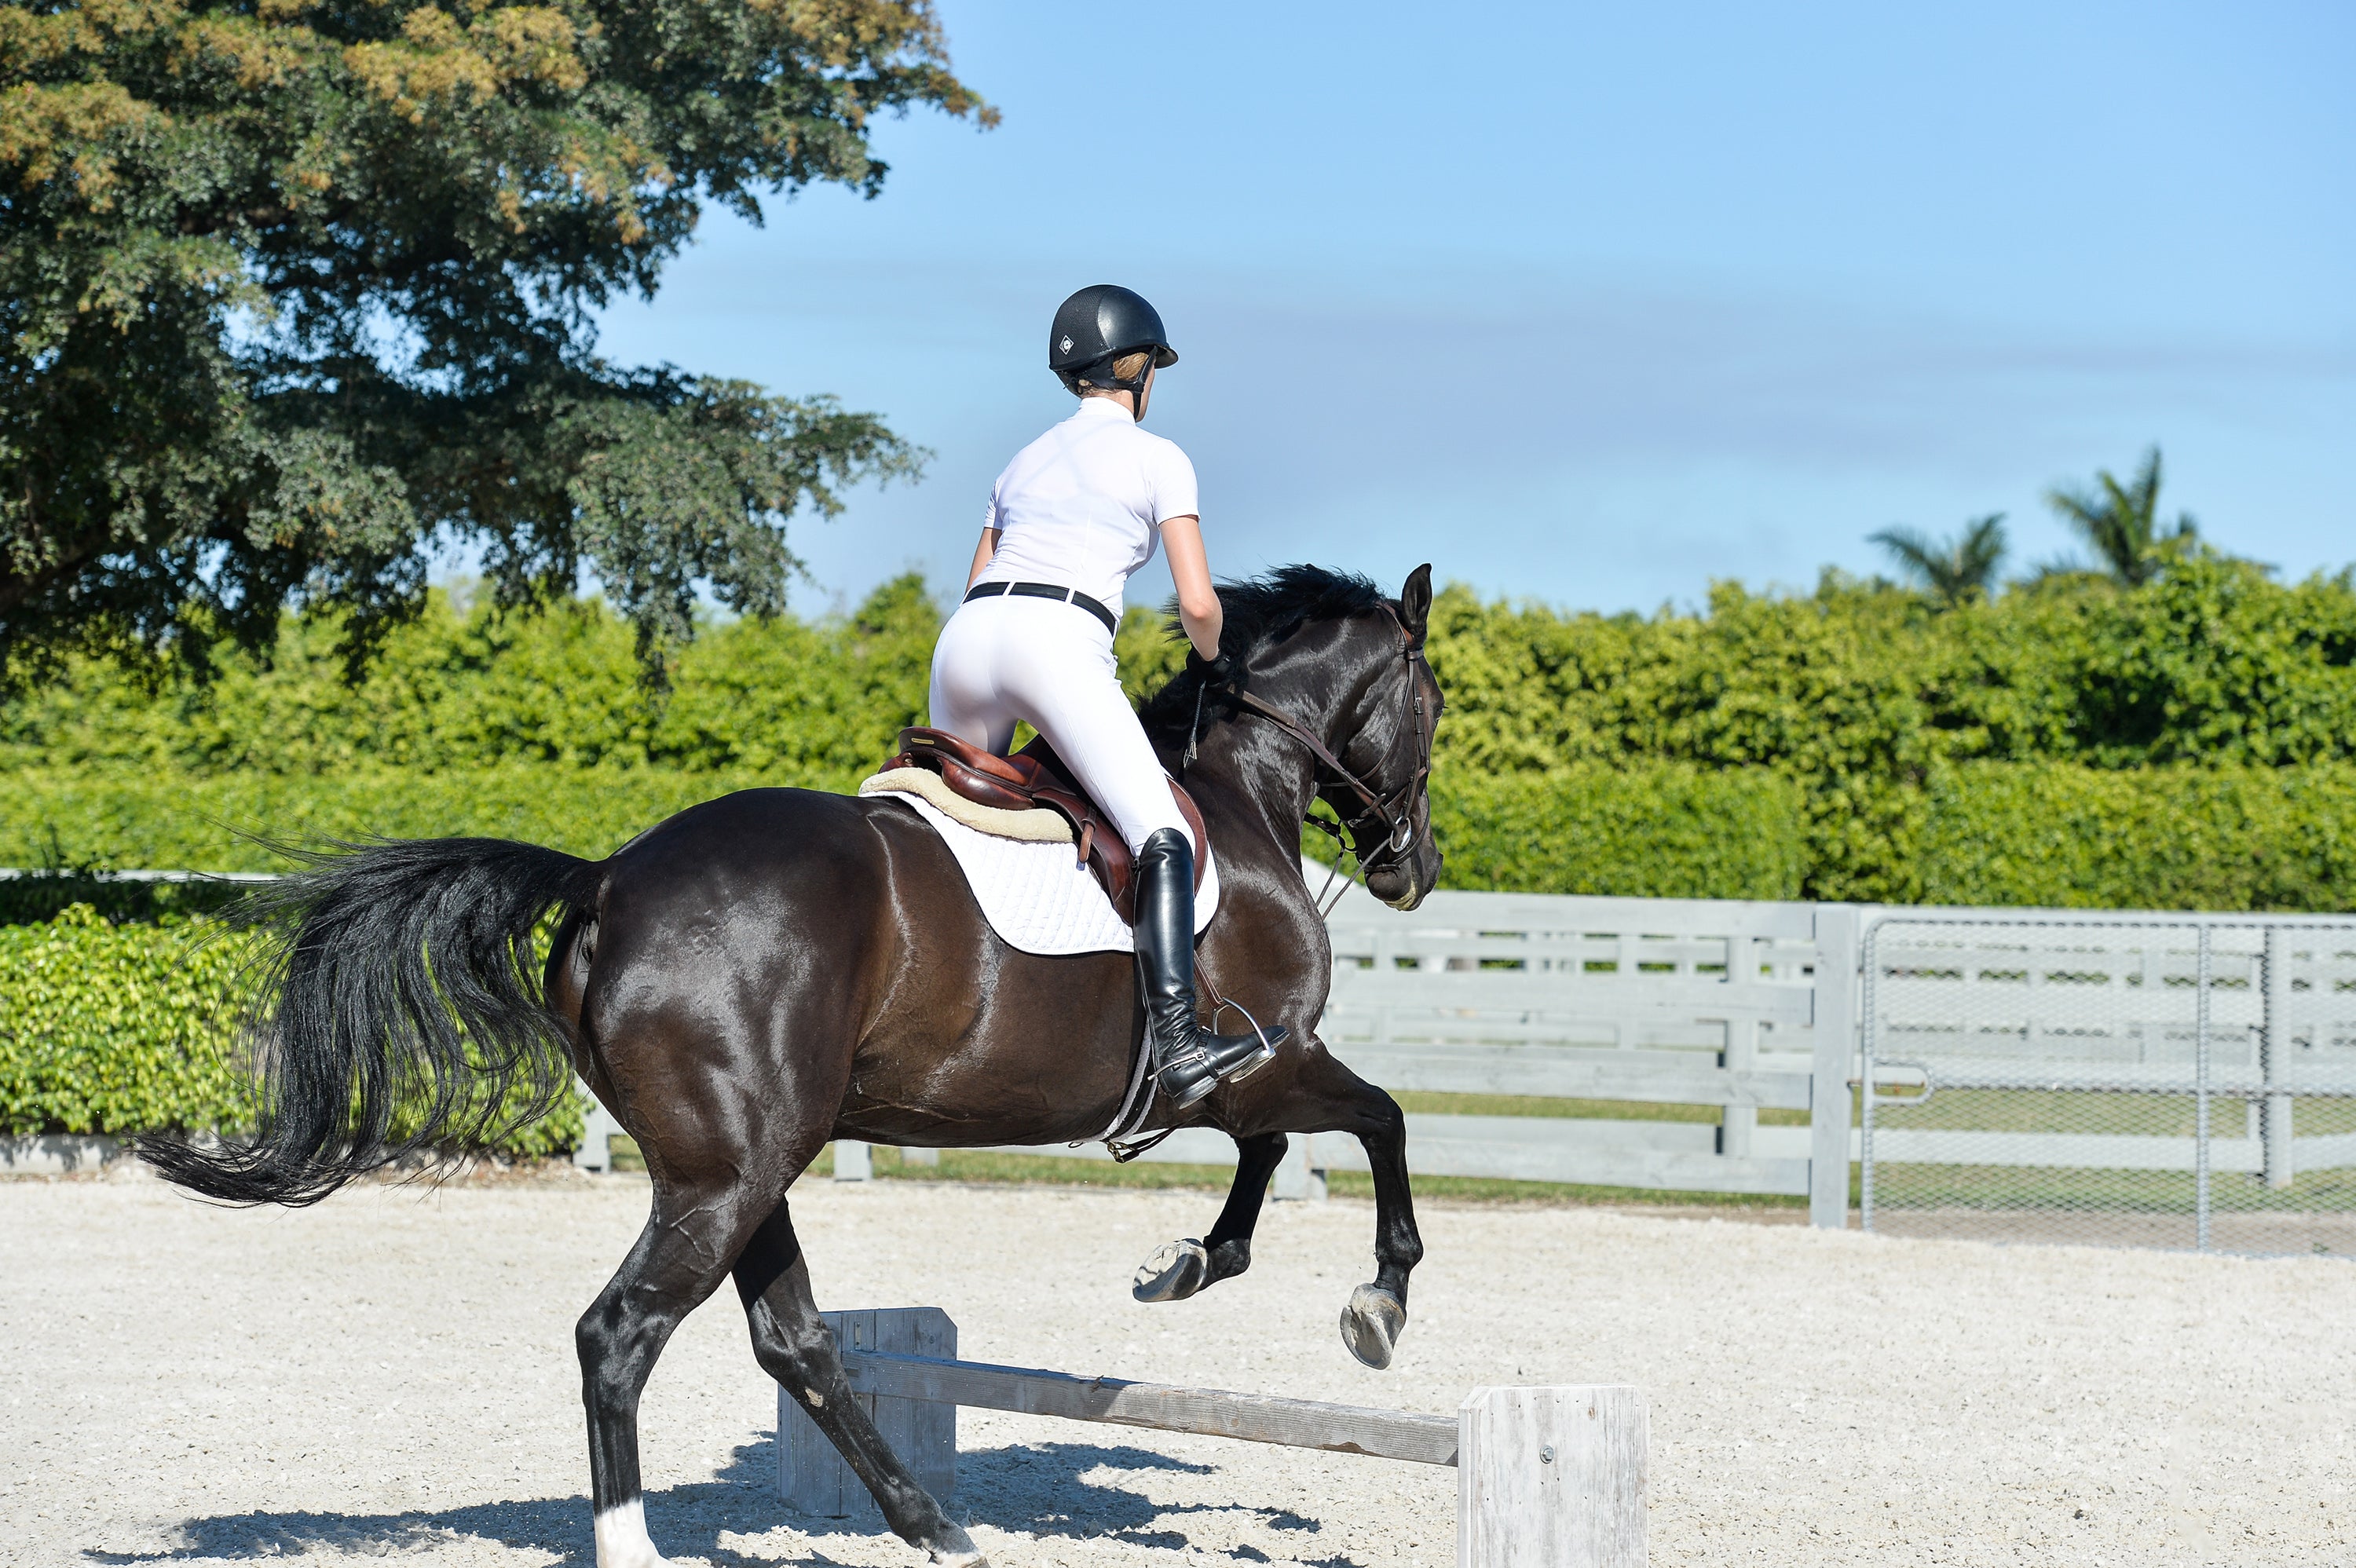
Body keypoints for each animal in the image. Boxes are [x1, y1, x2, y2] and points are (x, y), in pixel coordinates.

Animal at [144, 563, 1446, 1568]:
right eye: (1434, 706)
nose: (1412, 867)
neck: (1233, 800)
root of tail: (610, 875)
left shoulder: (1249, 1076)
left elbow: (1277, 1150)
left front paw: (1187, 1262)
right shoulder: (1262, 1060)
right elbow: (1376, 1122)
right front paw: (1375, 1302)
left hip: (745, 1160)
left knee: (794, 1339)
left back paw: (935, 1528)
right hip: (730, 1174)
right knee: (622, 1333)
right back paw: (639, 1544)